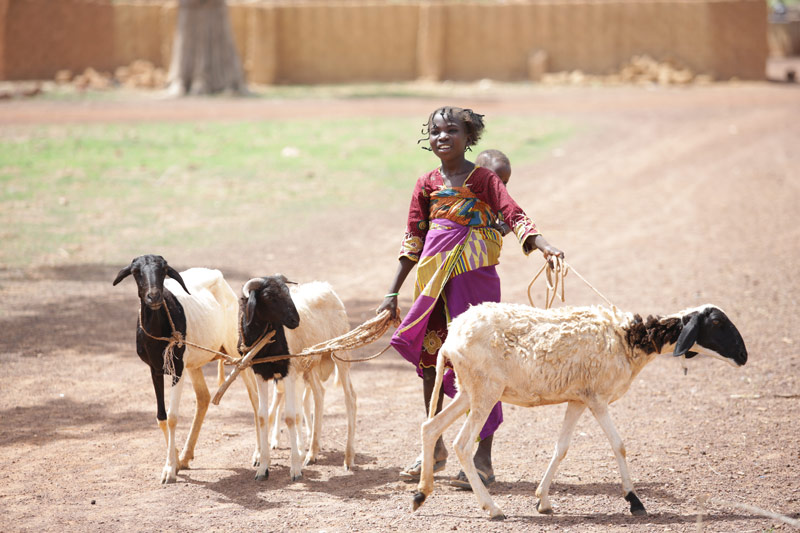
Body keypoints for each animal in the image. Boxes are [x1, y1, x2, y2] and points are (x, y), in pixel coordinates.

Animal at [113, 256, 260, 484]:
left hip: (237, 351)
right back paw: (185, 456)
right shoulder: (155, 369)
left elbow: (173, 416)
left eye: (164, 270)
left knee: (254, 397)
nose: (154, 296)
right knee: (204, 397)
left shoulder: (178, 370)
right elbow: (161, 416)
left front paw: (169, 470)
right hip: (196, 363)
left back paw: (259, 456)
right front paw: (174, 461)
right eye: (136, 271)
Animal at [239, 276, 358, 480]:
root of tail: (326, 286)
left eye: (287, 291)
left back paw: (348, 459)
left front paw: (295, 469)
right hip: (311, 363)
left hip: (340, 352)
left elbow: (290, 417)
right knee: (319, 394)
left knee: (350, 396)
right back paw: (312, 453)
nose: (295, 320)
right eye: (269, 296)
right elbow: (262, 416)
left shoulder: (289, 372)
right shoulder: (260, 373)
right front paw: (263, 468)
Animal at [416, 302, 748, 516]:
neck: (630, 340)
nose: (744, 356)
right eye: (717, 323)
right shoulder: (597, 398)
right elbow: (619, 445)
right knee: (461, 444)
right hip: (485, 391)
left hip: (469, 391)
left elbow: (561, 448)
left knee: (430, 427)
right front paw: (634, 500)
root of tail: (450, 338)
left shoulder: (577, 398)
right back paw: (492, 508)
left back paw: (421, 493)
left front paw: (543, 501)